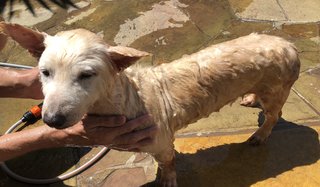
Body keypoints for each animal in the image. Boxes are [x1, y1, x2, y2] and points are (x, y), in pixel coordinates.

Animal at [0, 22, 300, 186]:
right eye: (44, 72)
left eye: (86, 75)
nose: (52, 120)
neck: (127, 99)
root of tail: (289, 45)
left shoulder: (162, 139)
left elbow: (168, 161)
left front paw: (166, 180)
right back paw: (250, 97)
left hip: (276, 86)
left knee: (274, 115)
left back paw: (260, 135)